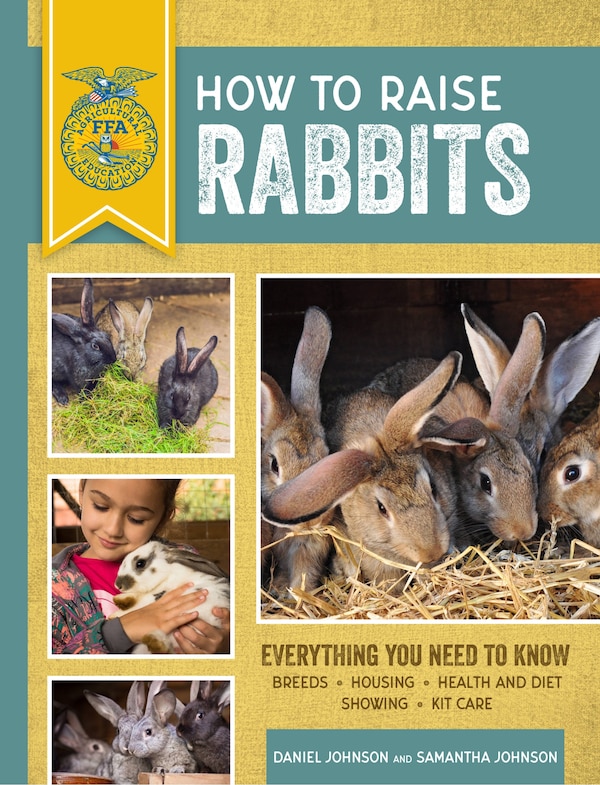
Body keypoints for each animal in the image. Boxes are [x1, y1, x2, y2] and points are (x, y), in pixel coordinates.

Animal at [261, 305, 334, 595]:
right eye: (274, 465)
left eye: (326, 458)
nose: (310, 522)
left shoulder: (307, 545)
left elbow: (303, 574)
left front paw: (296, 597)